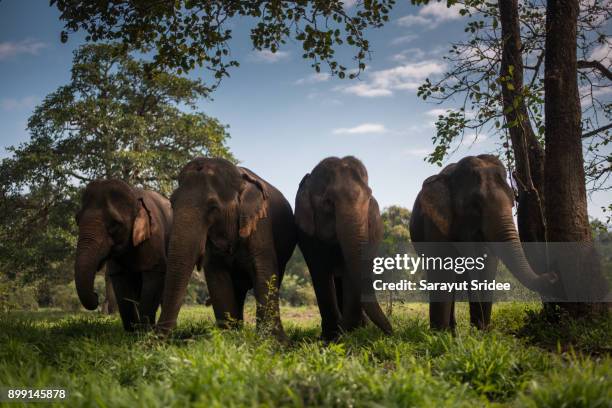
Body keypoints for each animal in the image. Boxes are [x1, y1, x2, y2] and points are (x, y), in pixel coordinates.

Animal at [76, 180, 173, 330]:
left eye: (115, 224)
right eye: (77, 220)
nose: (96, 295)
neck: (134, 195)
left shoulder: (154, 236)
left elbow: (154, 273)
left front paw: (145, 330)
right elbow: (120, 279)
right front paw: (132, 330)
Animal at [154, 157, 296, 342]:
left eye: (213, 207)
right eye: (172, 202)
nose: (155, 340)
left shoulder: (261, 226)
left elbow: (264, 272)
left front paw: (274, 343)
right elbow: (217, 276)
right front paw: (228, 338)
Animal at [296, 156, 392, 342]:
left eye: (369, 198)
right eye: (328, 202)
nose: (391, 333)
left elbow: (350, 271)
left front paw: (349, 333)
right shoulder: (307, 236)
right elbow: (319, 271)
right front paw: (330, 338)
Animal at [408, 155, 560, 330]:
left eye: (513, 201)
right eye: (475, 205)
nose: (553, 275)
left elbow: (487, 268)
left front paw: (481, 332)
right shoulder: (435, 224)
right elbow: (441, 272)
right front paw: (439, 334)